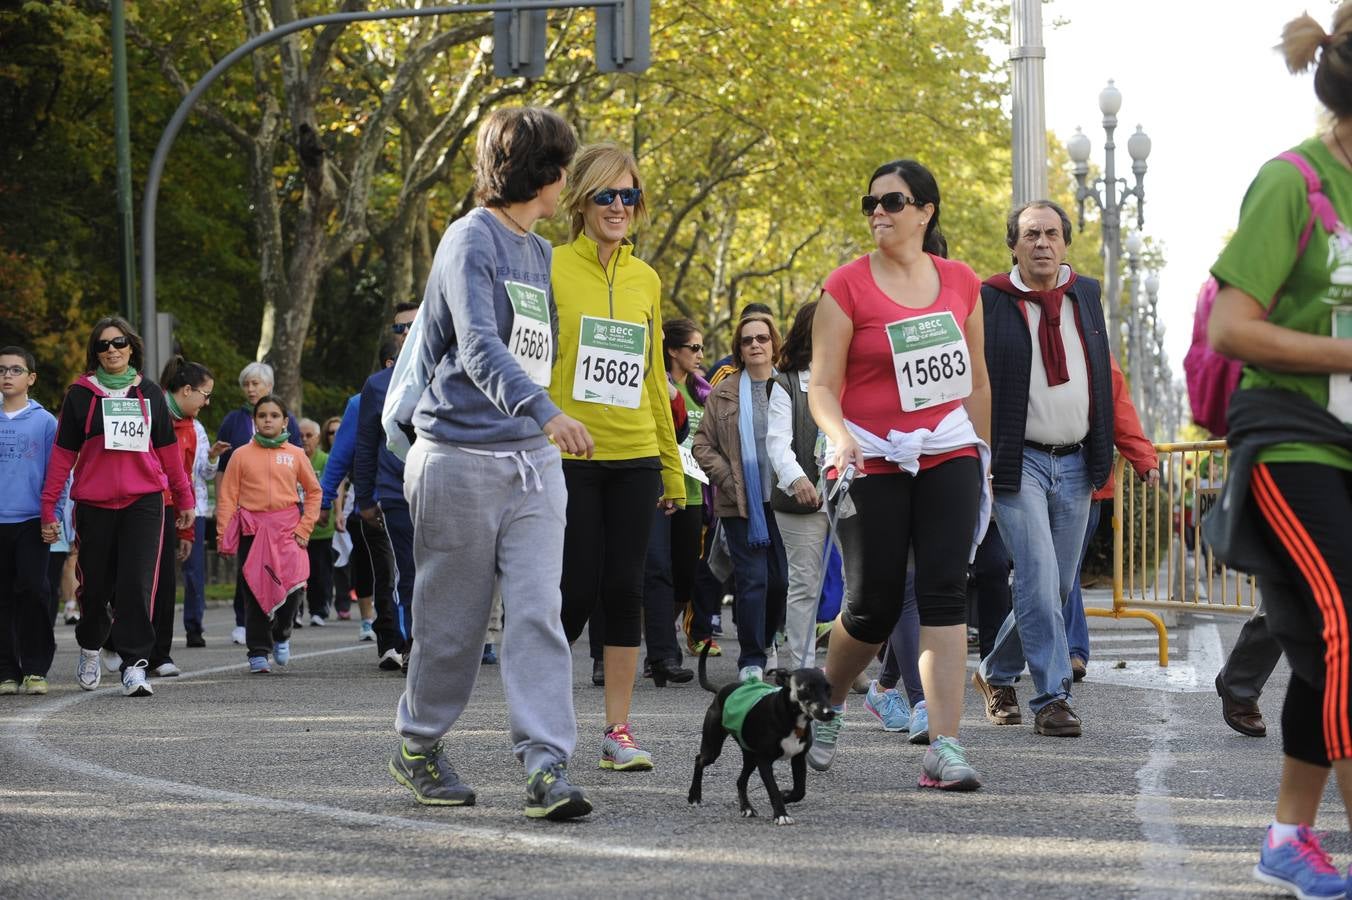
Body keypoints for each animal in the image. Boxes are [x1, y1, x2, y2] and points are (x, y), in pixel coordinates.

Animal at [686, 640, 832, 821]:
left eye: (829, 689)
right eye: (806, 689)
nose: (830, 713)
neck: (791, 720)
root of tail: (720, 690)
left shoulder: (798, 758)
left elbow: (799, 791)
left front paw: (785, 795)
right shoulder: (764, 761)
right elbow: (773, 789)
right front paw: (781, 814)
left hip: (750, 756)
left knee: (740, 781)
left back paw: (746, 808)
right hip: (714, 747)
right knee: (699, 759)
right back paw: (694, 796)